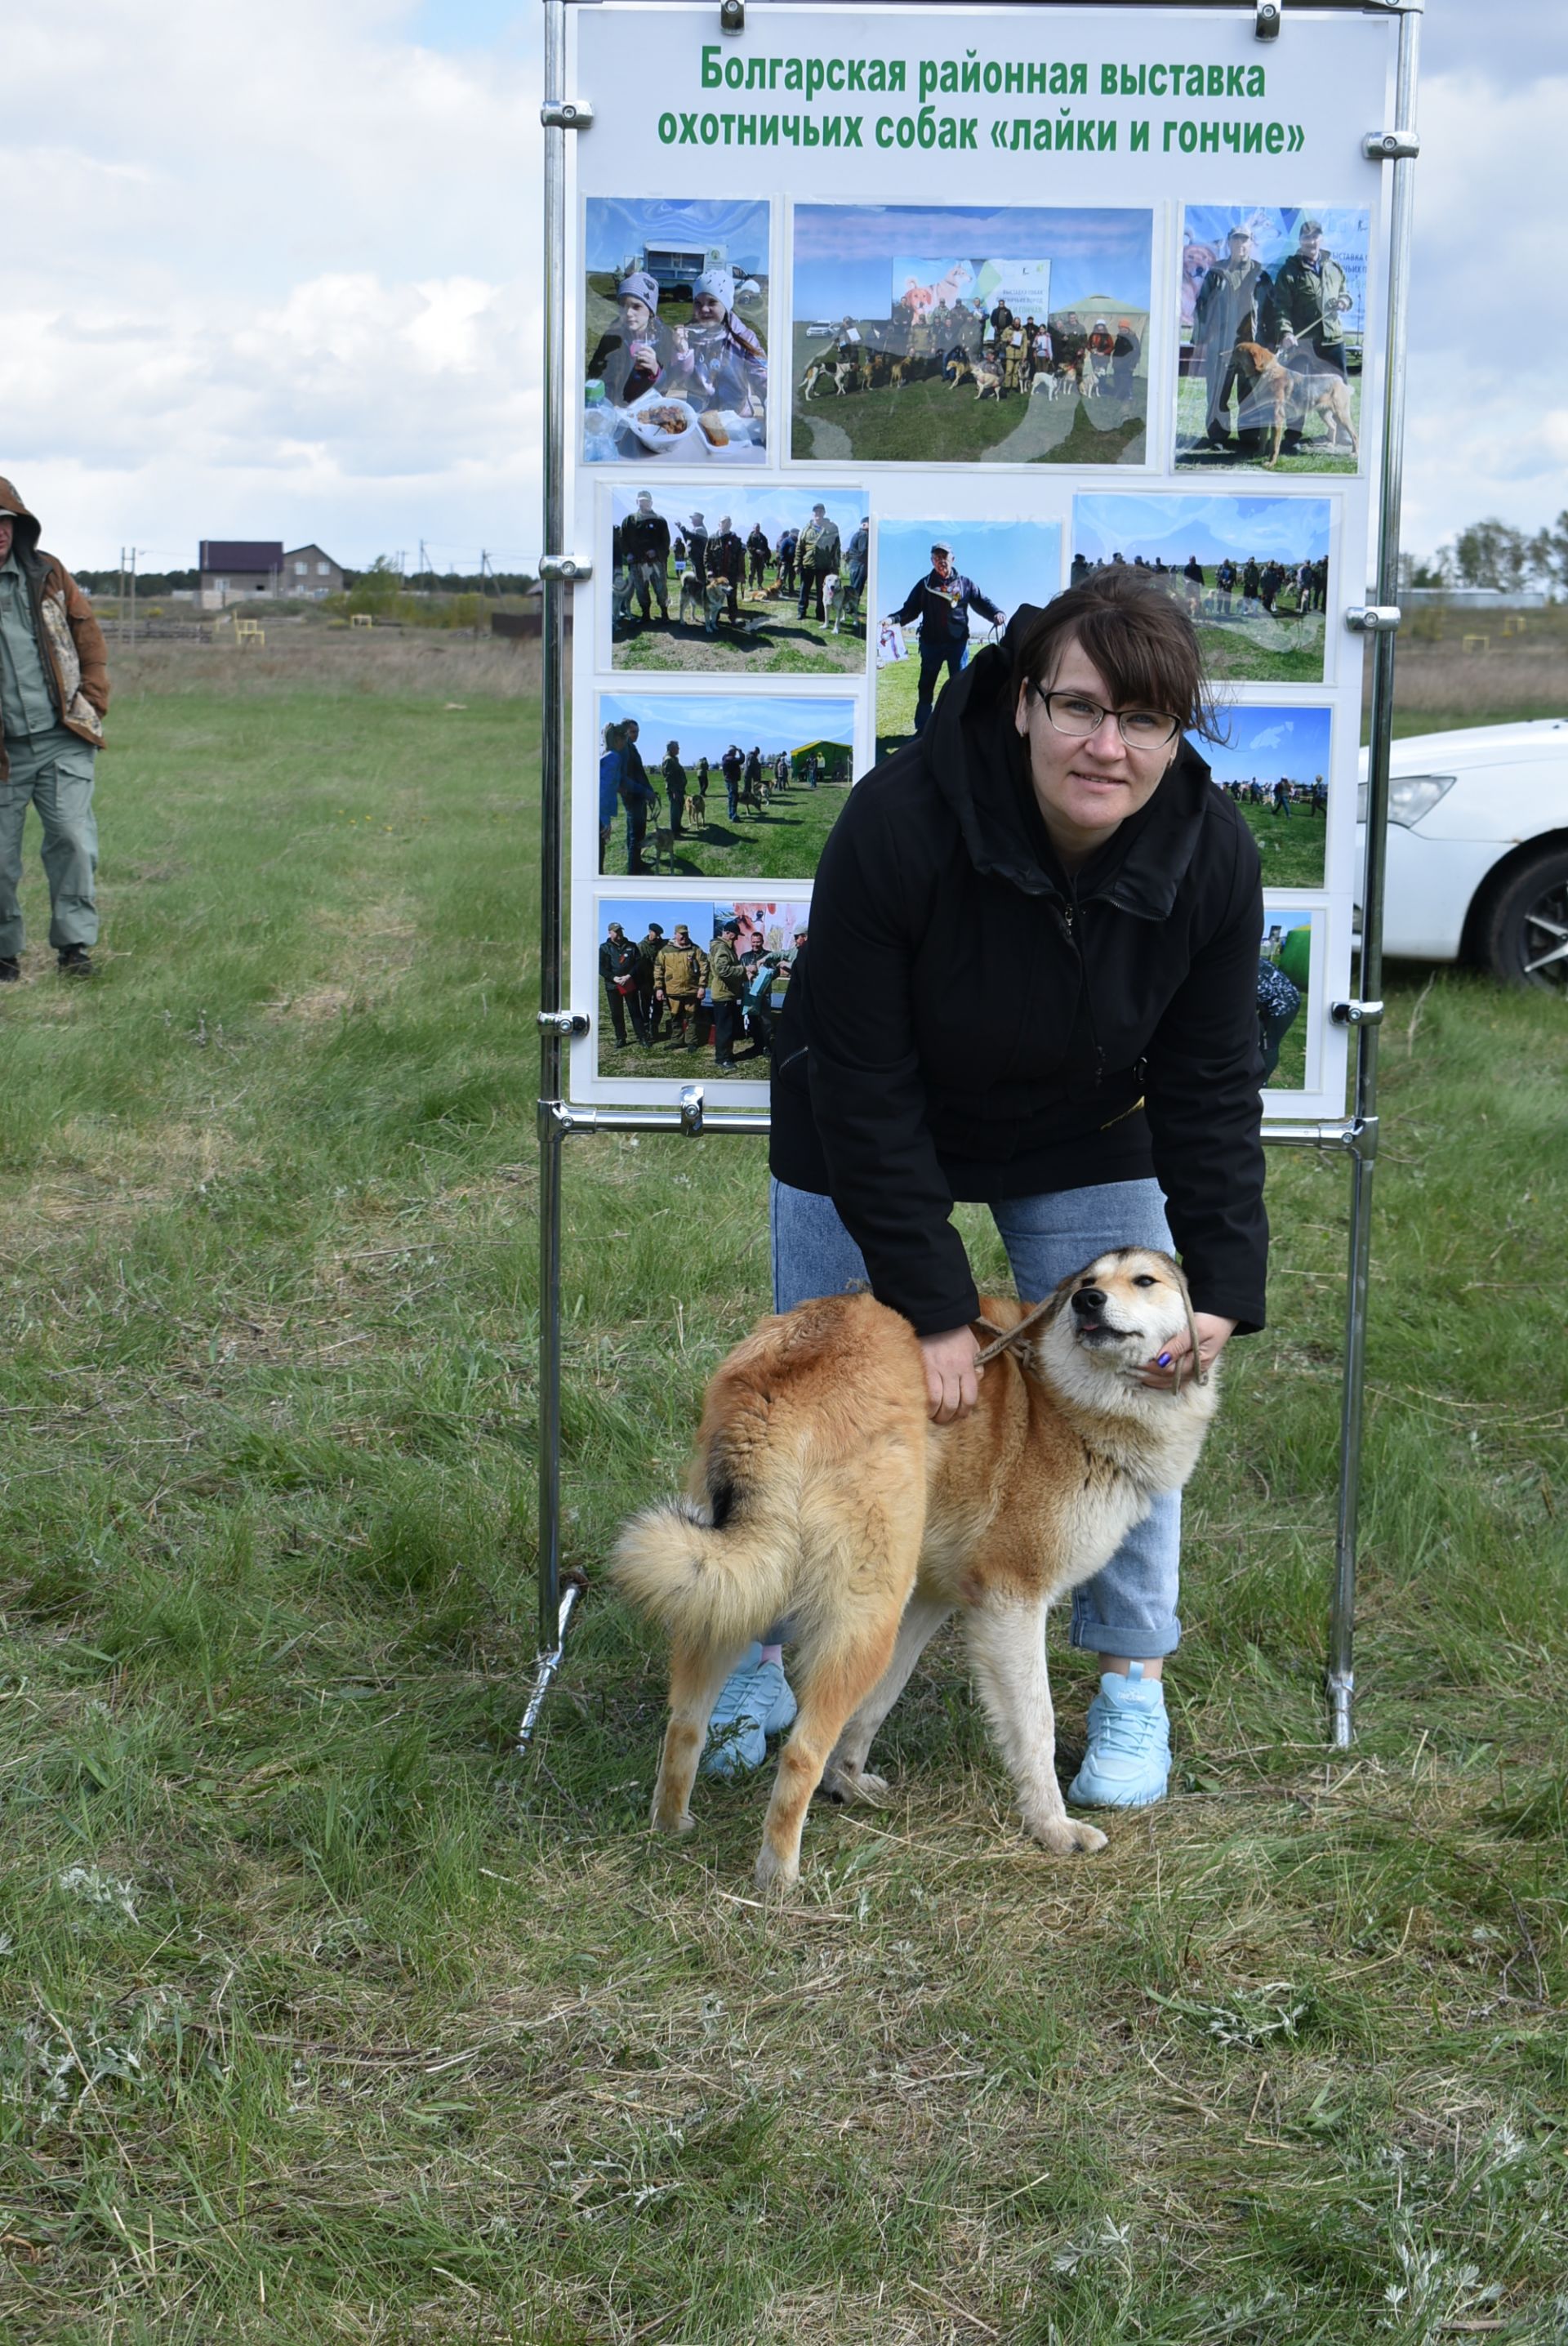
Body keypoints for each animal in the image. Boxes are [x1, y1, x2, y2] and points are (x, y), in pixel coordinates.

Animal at [609, 1247, 1209, 1886]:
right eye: (1088, 1284)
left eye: (1144, 1281)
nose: (1087, 1302)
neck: (1060, 1395)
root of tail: (788, 1364)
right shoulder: (1011, 1603)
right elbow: (1035, 1728)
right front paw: (1052, 1828)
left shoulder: (930, 1599)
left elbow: (878, 1703)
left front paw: (846, 1783)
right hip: (864, 1614)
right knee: (799, 1751)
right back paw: (780, 1878)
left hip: (738, 1582)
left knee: (685, 1724)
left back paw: (671, 1827)